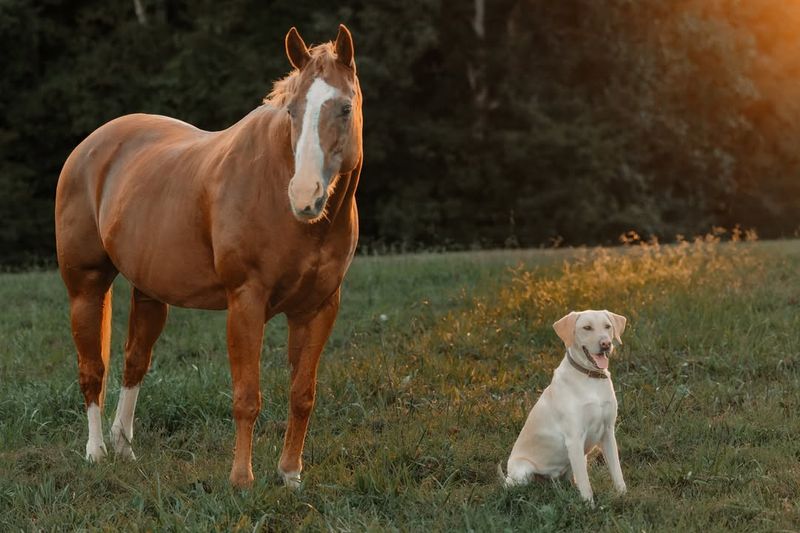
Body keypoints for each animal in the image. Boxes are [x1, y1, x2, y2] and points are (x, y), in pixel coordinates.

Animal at [57, 23, 364, 486]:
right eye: (291, 111)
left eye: (344, 108)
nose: (303, 195)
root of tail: (89, 147)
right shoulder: (246, 301)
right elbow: (246, 396)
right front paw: (241, 480)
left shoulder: (319, 308)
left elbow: (302, 394)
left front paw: (290, 476)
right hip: (86, 287)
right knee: (93, 368)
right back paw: (96, 452)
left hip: (150, 291)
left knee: (134, 363)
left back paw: (124, 448)